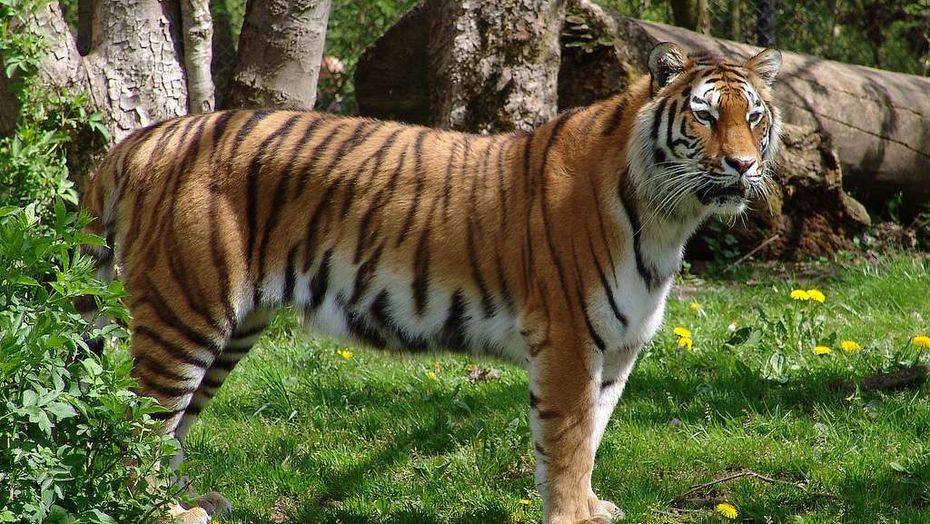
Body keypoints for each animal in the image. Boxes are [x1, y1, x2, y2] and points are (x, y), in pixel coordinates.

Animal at [76, 43, 781, 523]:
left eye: (754, 118)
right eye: (704, 118)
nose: (743, 165)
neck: (670, 218)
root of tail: (144, 138)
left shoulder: (616, 345)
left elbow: (593, 431)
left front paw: (591, 507)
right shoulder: (569, 338)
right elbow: (569, 437)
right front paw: (572, 516)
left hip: (231, 323)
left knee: (169, 426)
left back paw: (189, 502)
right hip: (185, 309)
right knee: (136, 421)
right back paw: (162, 512)